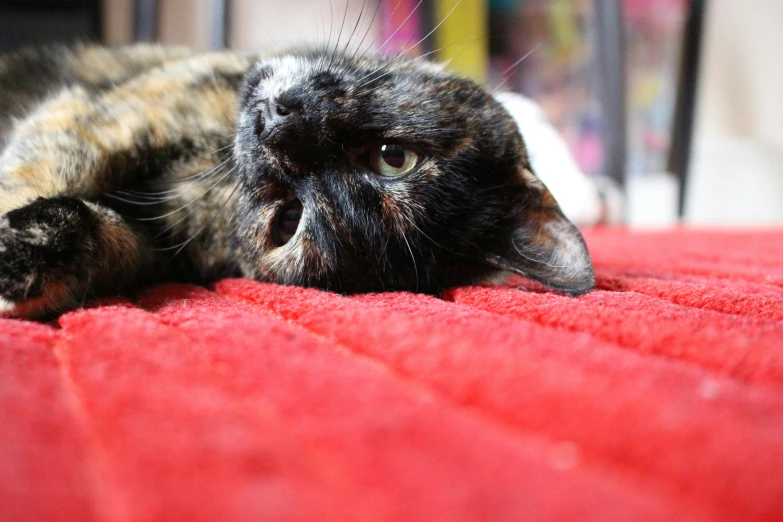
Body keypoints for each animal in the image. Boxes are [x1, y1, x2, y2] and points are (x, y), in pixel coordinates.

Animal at [0, 41, 592, 316]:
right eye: (393, 156)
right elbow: (50, 168)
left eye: (288, 220)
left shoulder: (156, 244)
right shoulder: (114, 116)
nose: (274, 126)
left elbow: (101, 232)